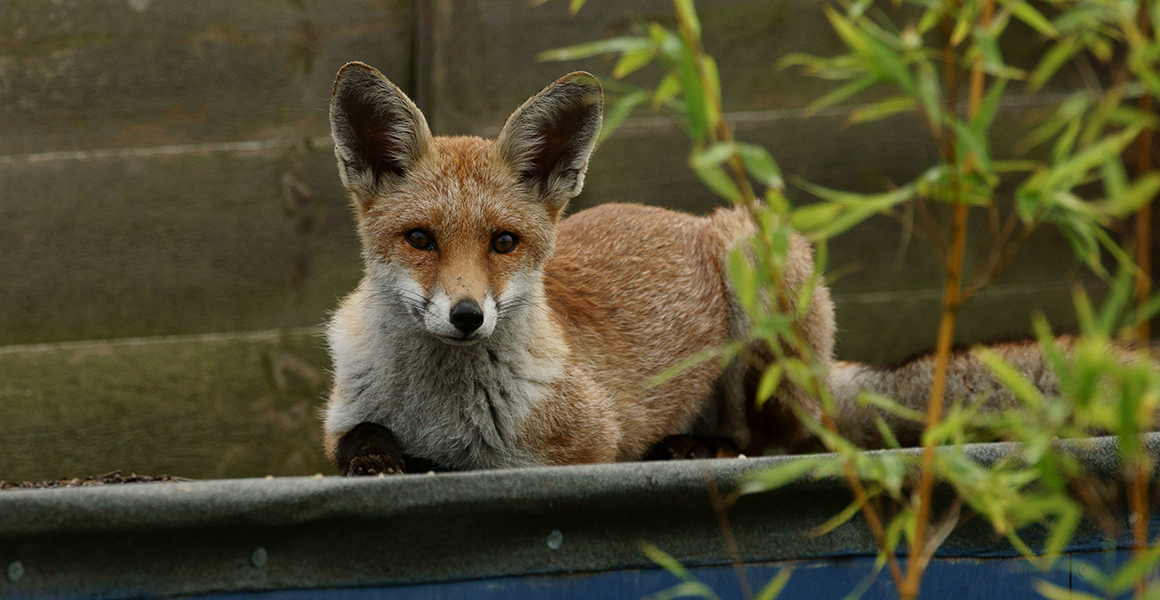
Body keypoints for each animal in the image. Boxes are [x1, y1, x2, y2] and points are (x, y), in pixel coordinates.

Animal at [320, 62, 836, 475]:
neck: (437, 412)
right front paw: (377, 457)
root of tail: (688, 217)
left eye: (503, 242)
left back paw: (696, 447)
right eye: (419, 239)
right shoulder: (341, 418)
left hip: (758, 284)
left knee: (762, 442)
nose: (467, 315)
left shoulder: (588, 443)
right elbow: (359, 435)